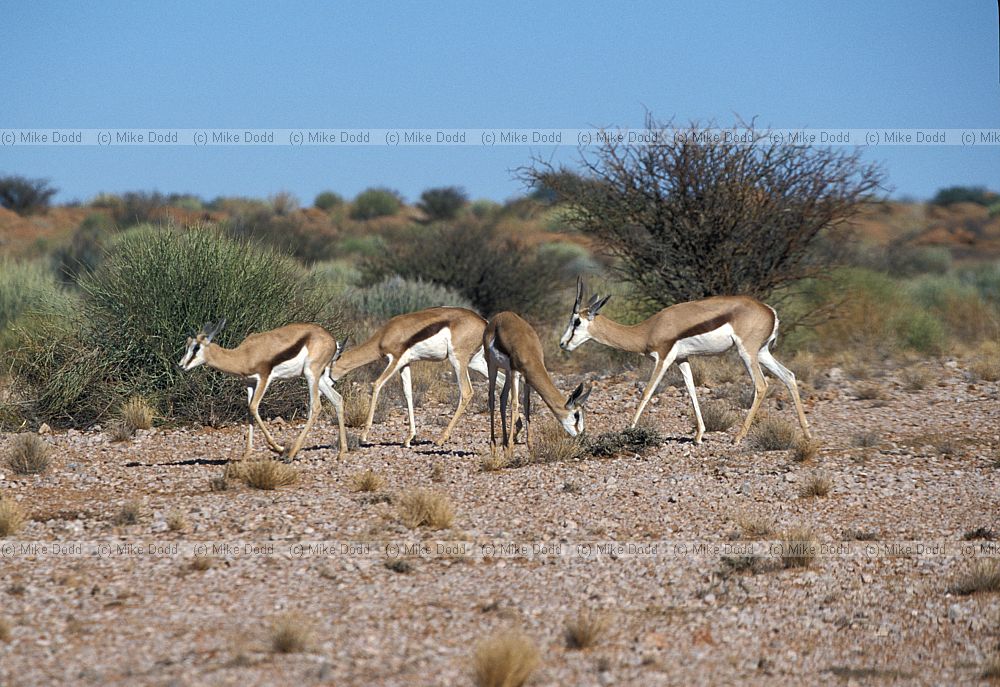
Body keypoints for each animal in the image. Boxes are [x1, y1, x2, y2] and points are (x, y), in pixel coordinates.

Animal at [178, 322, 350, 462]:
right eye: (187, 346)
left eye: (196, 347)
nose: (180, 365)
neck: (244, 354)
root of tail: (332, 340)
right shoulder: (250, 383)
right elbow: (249, 411)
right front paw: (246, 455)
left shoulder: (264, 378)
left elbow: (254, 407)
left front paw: (278, 449)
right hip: (318, 378)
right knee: (337, 399)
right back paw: (342, 453)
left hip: (310, 374)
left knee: (316, 407)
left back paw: (290, 454)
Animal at [330, 308, 508, 448]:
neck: (385, 335)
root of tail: (485, 322)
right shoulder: (405, 364)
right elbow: (408, 393)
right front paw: (409, 438)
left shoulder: (395, 360)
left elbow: (376, 385)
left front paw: (363, 436)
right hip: (476, 362)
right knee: (502, 381)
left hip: (458, 360)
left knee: (467, 392)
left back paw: (440, 439)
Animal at [486, 314, 592, 460]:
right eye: (576, 415)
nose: (580, 435)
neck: (528, 350)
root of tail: (499, 316)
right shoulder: (515, 372)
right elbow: (515, 404)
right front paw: (511, 450)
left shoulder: (527, 379)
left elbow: (526, 405)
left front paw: (530, 448)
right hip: (492, 365)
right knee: (492, 399)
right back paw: (494, 447)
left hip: (506, 371)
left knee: (502, 398)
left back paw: (504, 446)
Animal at [560, 280, 808, 446]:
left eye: (577, 321)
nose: (563, 344)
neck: (648, 329)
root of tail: (770, 311)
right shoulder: (682, 359)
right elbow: (691, 391)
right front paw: (698, 436)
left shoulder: (664, 358)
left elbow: (646, 393)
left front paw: (628, 430)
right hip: (762, 352)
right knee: (789, 376)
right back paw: (807, 433)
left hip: (746, 353)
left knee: (762, 385)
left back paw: (738, 437)